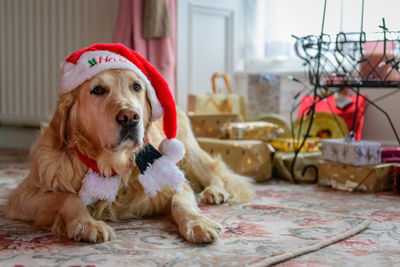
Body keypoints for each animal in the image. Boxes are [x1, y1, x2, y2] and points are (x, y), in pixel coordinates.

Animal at [4, 66, 253, 243]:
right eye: (97, 89)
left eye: (136, 87)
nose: (130, 117)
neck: (114, 164)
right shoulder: (22, 196)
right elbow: (68, 197)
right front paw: (88, 224)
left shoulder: (170, 179)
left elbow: (182, 202)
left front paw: (198, 222)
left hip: (187, 149)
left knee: (214, 170)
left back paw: (215, 191)